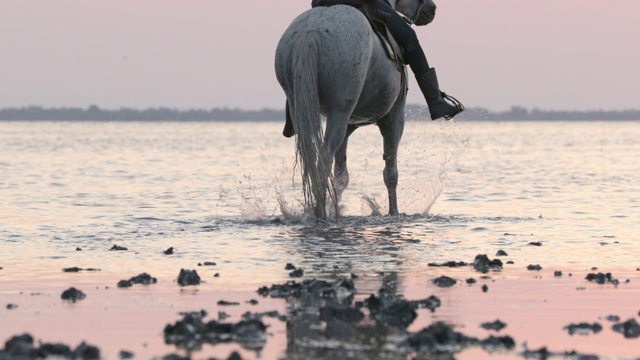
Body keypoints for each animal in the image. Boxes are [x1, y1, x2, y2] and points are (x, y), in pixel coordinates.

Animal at [276, 0, 436, 221]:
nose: (432, 9)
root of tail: (311, 30)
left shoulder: (349, 125)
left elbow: (341, 177)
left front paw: (335, 208)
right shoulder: (394, 119)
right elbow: (391, 172)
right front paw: (393, 213)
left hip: (305, 110)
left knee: (312, 161)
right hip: (339, 114)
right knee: (323, 160)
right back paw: (320, 213)